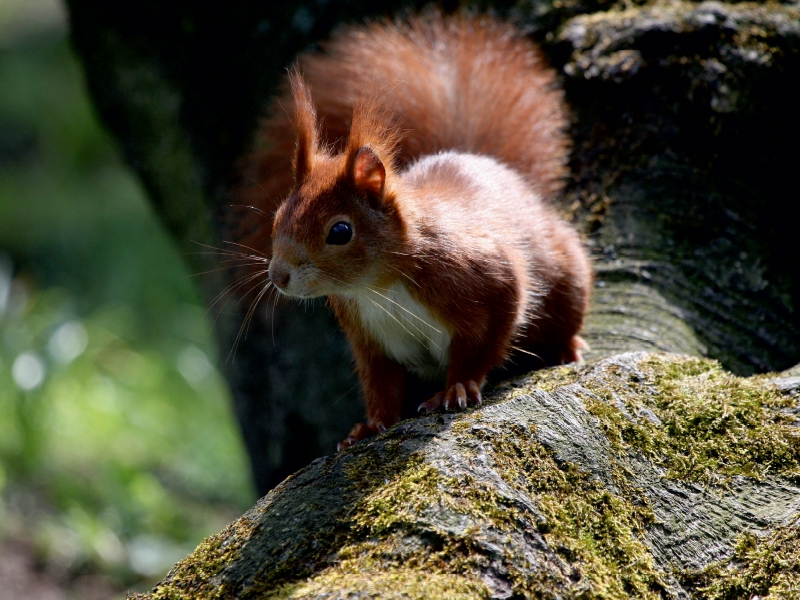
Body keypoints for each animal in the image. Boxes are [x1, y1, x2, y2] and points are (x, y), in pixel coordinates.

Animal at [234, 11, 592, 450]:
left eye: (340, 231)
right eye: (277, 217)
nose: (278, 276)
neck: (378, 286)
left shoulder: (486, 277)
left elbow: (485, 340)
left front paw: (458, 387)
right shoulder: (369, 337)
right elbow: (380, 383)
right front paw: (370, 425)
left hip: (567, 274)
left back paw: (567, 347)